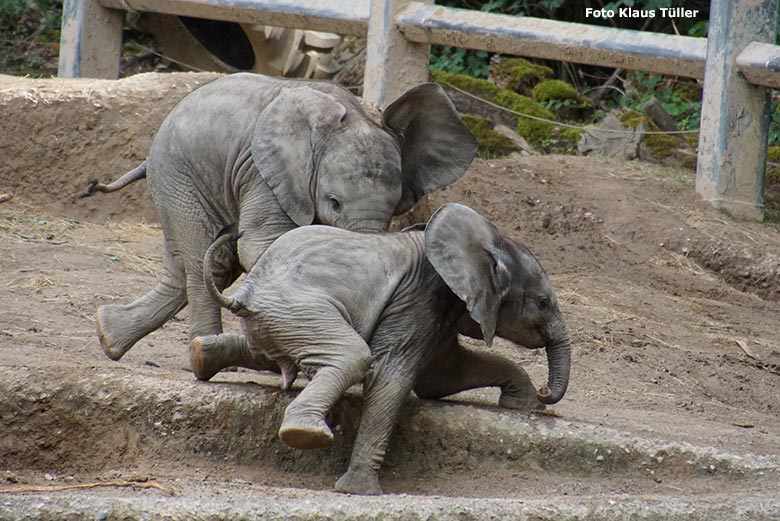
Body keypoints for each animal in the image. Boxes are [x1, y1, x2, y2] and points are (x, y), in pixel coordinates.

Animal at [80, 72, 476, 370]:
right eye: (334, 203)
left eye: (395, 208)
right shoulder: (266, 174)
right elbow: (262, 247)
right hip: (179, 175)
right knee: (205, 257)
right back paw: (199, 352)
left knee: (194, 268)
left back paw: (109, 337)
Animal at [200, 201, 572, 494]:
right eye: (542, 303)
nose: (545, 392)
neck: (487, 238)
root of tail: (243, 294)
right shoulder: (420, 295)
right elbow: (390, 376)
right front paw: (359, 490)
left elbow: (442, 376)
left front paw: (523, 402)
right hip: (297, 307)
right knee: (353, 356)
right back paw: (306, 433)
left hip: (282, 317)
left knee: (270, 352)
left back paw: (201, 354)